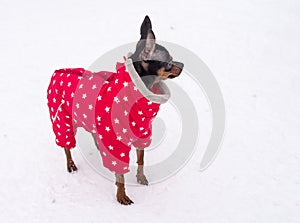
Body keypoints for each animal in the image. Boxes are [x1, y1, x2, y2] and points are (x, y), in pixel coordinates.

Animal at [46, 15, 184, 206]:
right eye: (169, 62)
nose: (183, 64)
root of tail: (57, 72)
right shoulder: (116, 144)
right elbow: (120, 176)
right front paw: (121, 195)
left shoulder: (141, 135)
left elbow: (140, 159)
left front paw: (141, 177)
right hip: (62, 121)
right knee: (66, 145)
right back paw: (70, 164)